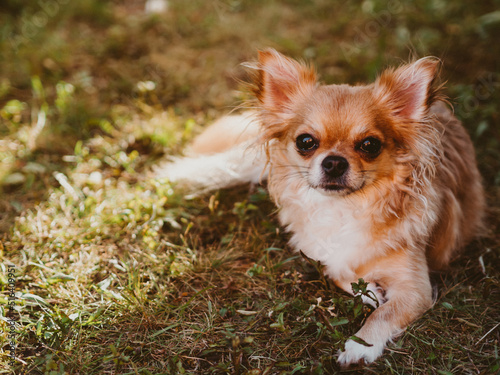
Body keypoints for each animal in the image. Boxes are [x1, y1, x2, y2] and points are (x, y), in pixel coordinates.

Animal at [160, 49, 484, 368]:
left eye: (370, 145)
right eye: (306, 142)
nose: (334, 162)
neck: (343, 208)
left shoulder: (416, 290)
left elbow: (384, 313)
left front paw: (360, 345)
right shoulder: (318, 250)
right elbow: (335, 270)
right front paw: (369, 293)